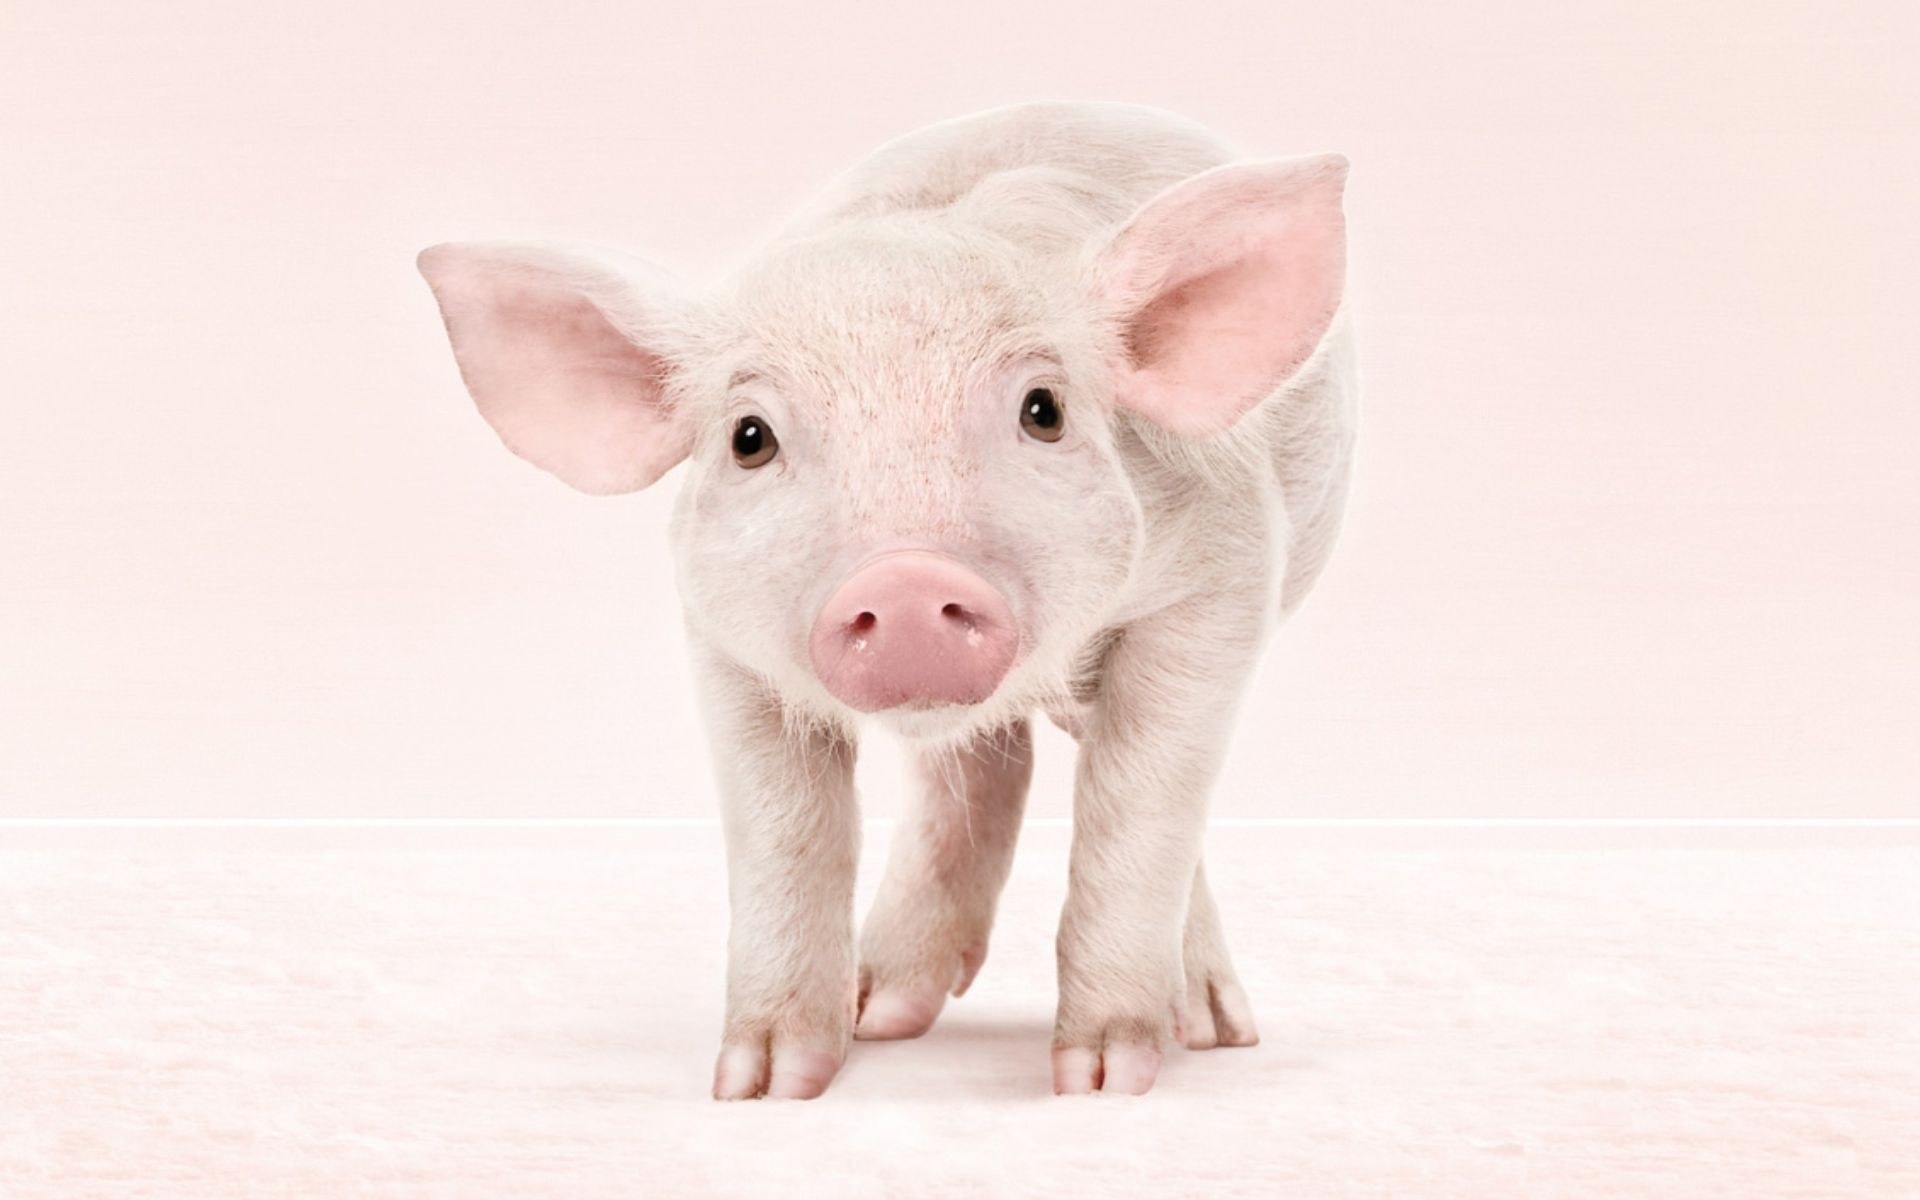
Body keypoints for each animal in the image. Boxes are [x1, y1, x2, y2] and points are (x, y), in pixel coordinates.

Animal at [417, 100, 1356, 1099]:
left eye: (1044, 410)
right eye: (750, 436)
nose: (907, 579)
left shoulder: (1224, 568)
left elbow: (1141, 803)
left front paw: (1100, 1081)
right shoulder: (721, 637)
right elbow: (785, 834)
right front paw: (763, 1084)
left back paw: (1216, 1033)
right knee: (985, 767)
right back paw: (886, 1013)